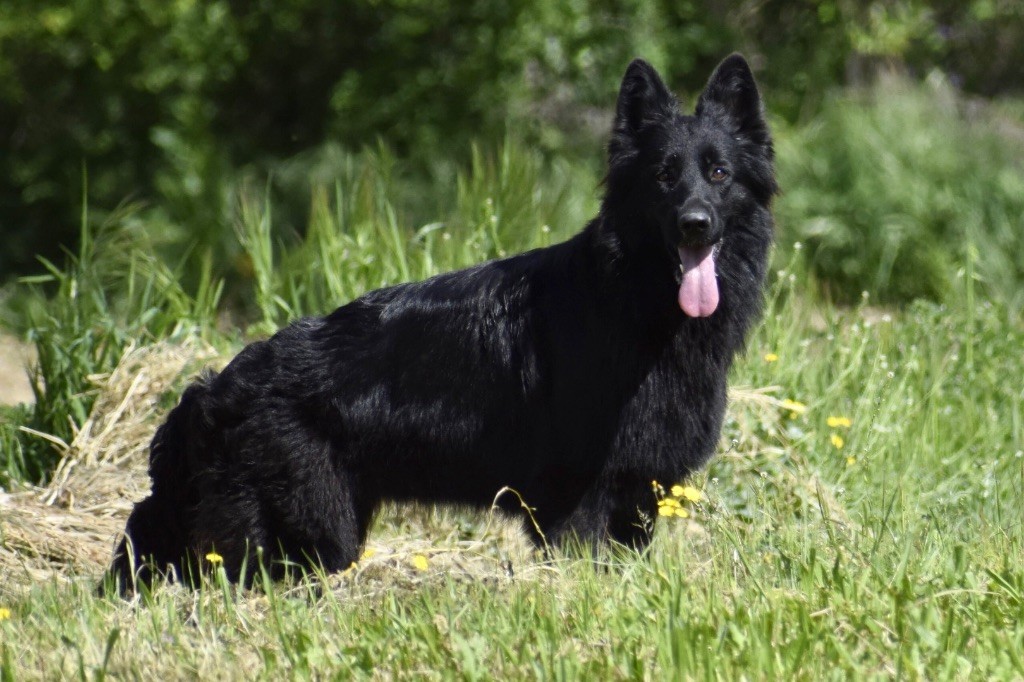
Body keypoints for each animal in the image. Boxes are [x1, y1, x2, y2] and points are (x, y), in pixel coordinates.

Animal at [105, 53, 774, 589]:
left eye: (718, 173)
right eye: (663, 176)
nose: (695, 224)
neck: (632, 302)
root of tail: (212, 388)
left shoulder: (637, 492)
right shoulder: (579, 499)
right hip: (311, 533)